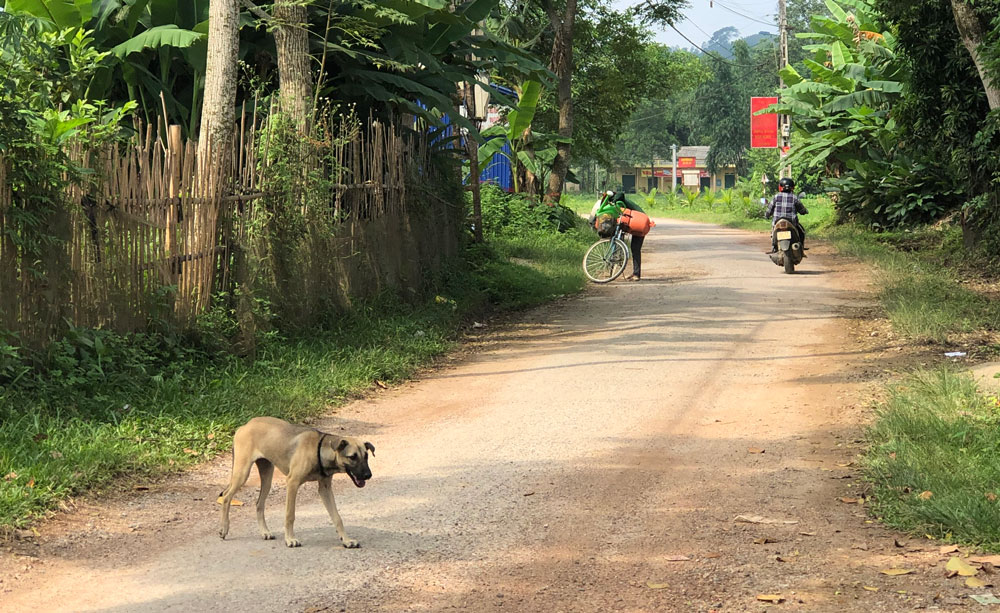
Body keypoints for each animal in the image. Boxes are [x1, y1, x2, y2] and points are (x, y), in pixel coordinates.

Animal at [219, 418, 376, 548]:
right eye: (352, 457)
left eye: (366, 456)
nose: (368, 475)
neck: (319, 450)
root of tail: (244, 426)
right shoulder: (292, 483)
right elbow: (290, 515)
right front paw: (290, 539)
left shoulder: (325, 488)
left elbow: (337, 517)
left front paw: (347, 540)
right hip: (242, 472)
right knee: (226, 497)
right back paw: (224, 529)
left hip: (267, 475)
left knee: (259, 503)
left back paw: (265, 532)